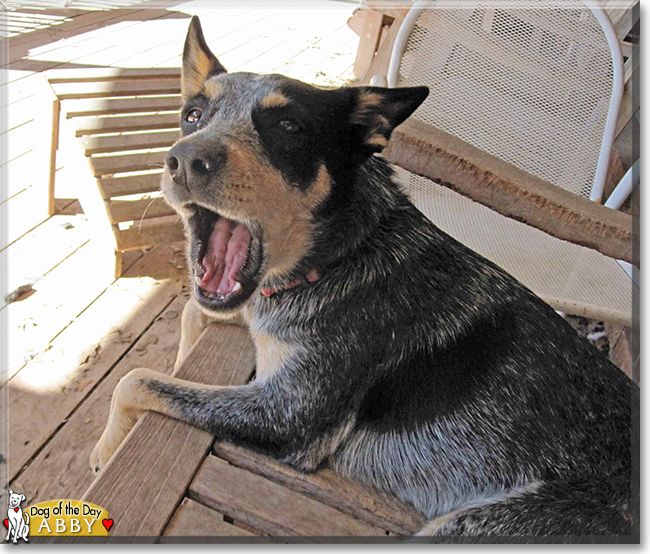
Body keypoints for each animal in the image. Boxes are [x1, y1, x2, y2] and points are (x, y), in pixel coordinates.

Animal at [88, 16, 636, 536]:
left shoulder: (288, 418)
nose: (184, 159)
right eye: (193, 115)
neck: (340, 256)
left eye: (288, 126)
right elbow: (188, 316)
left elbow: (137, 380)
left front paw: (105, 450)